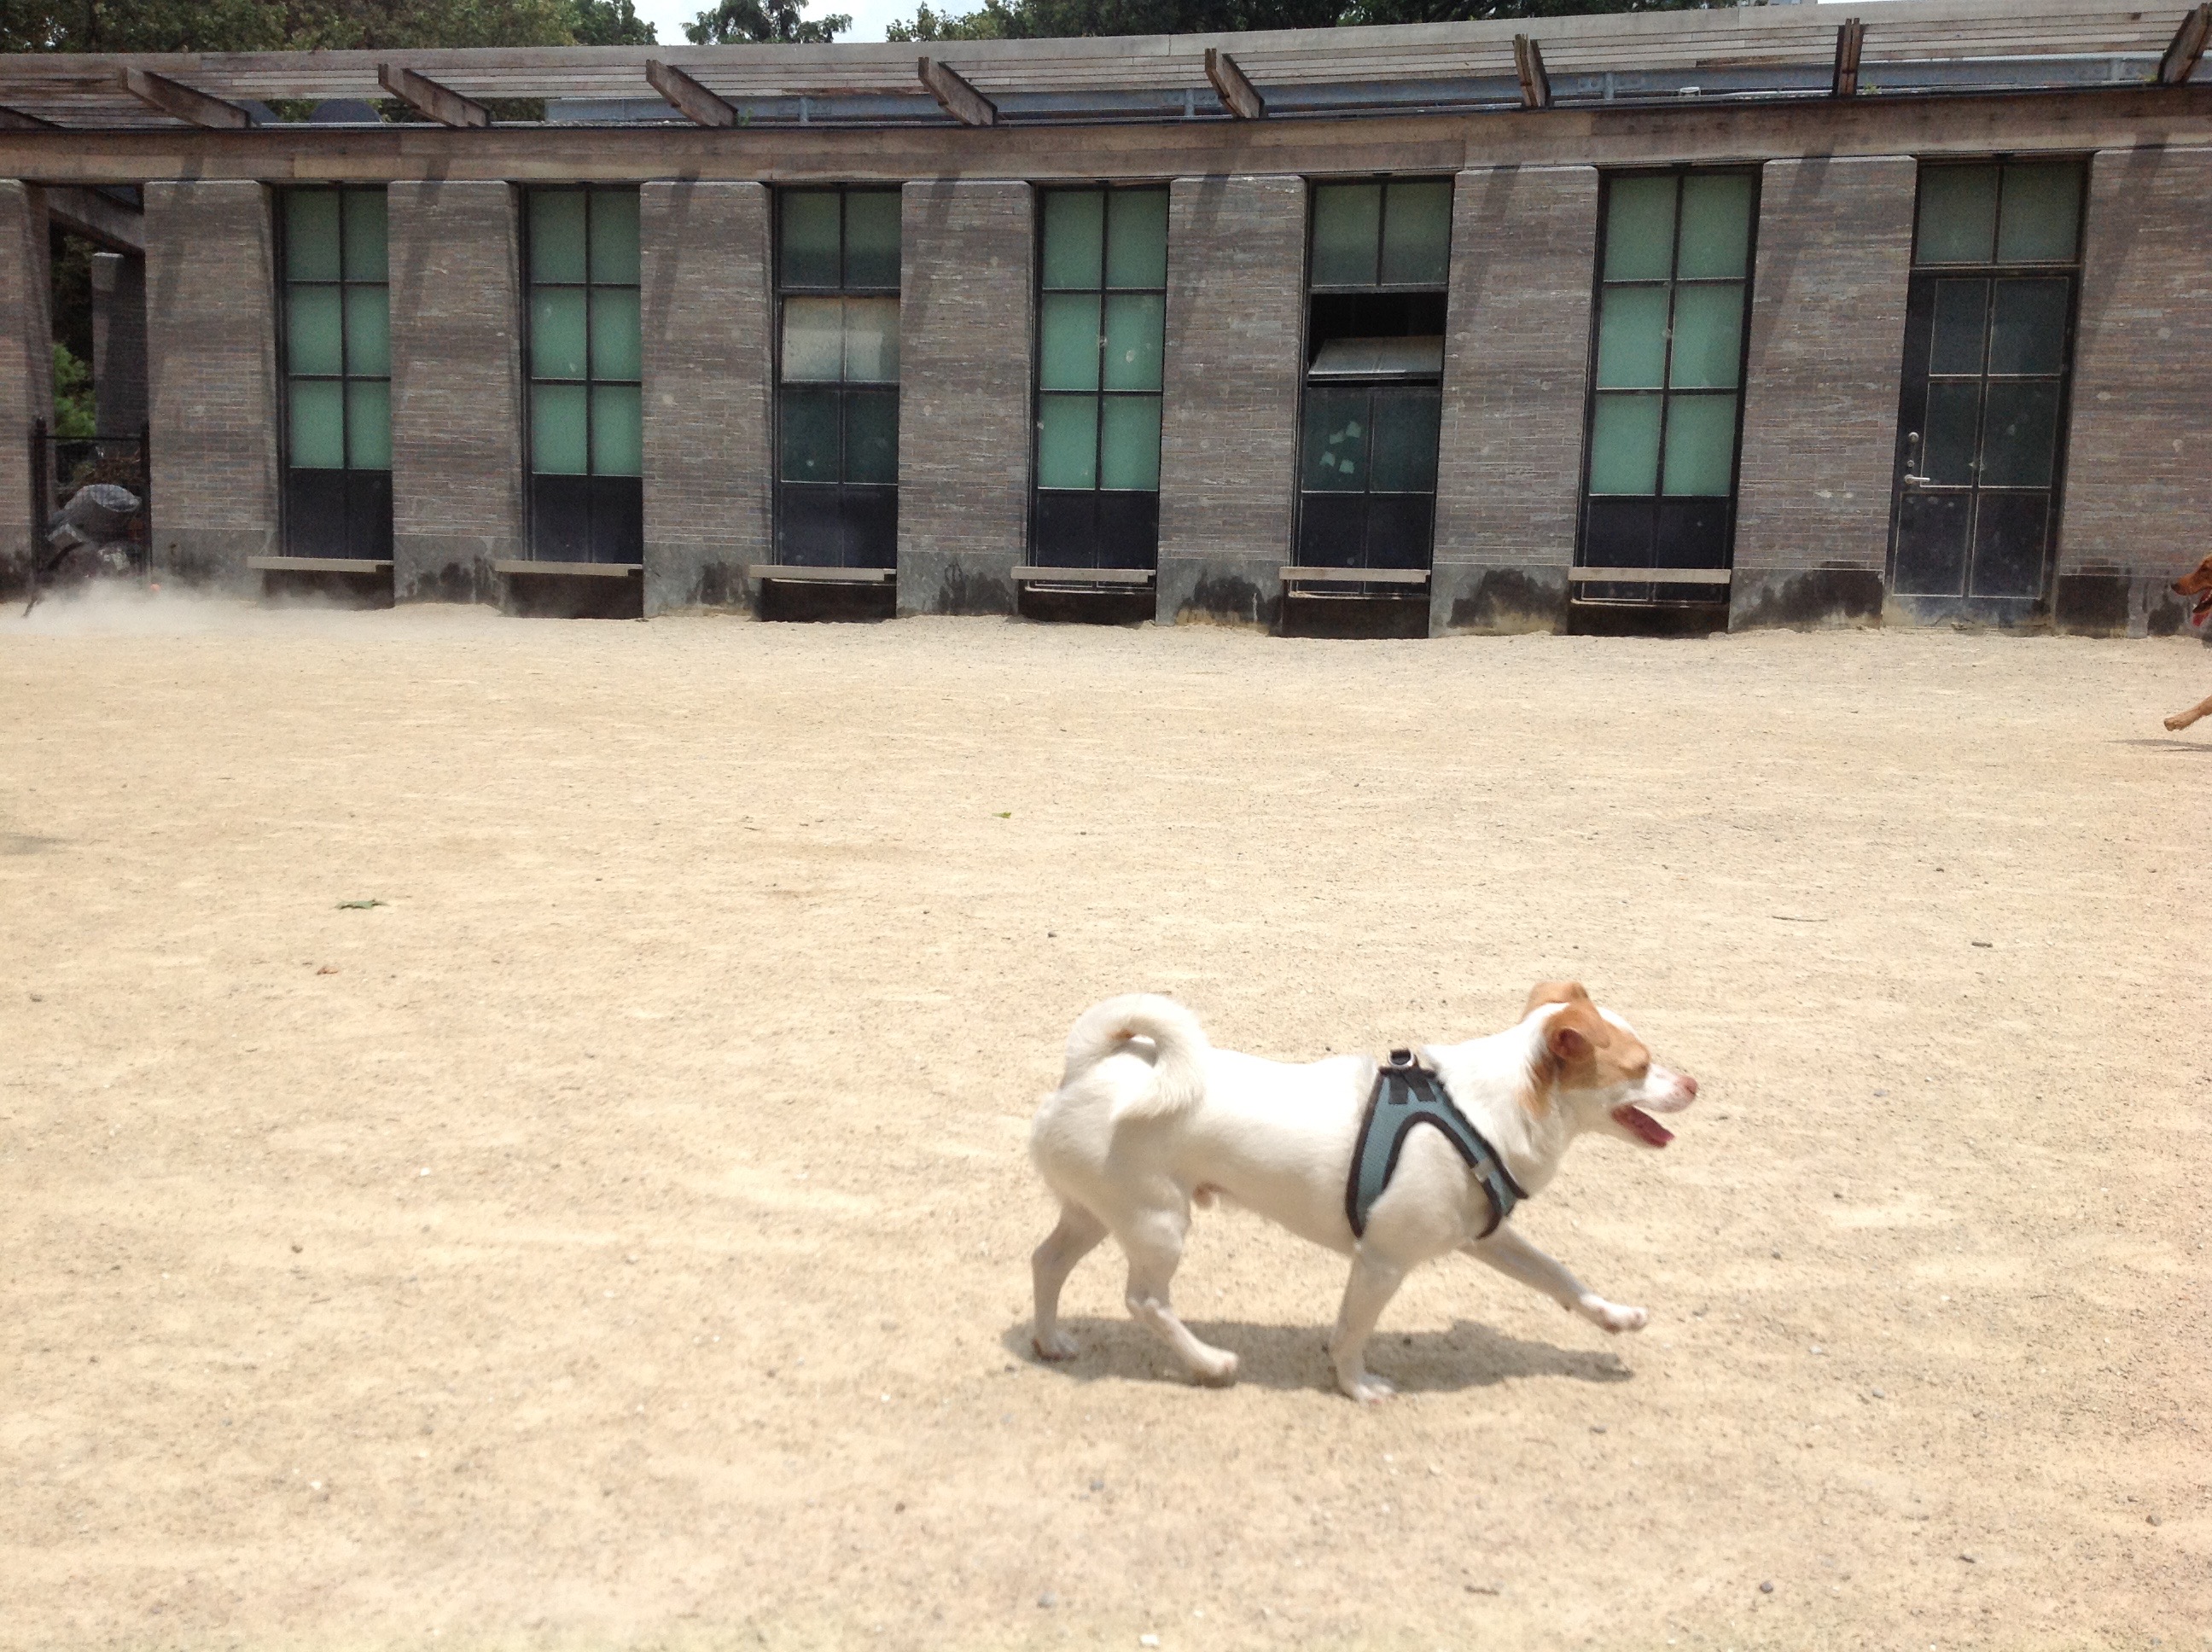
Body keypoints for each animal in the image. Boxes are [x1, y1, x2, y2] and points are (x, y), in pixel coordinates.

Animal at [1026, 991, 1698, 1406]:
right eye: (1640, 1066)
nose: (1694, 1083)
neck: (1478, 1111)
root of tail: (1090, 1067)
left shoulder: (1487, 1237)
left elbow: (1559, 1277)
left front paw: (1614, 1317)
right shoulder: (1381, 1263)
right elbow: (1352, 1331)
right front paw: (1357, 1388)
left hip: (1094, 1214)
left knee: (1047, 1262)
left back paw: (1051, 1341)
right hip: (1158, 1222)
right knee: (1145, 1302)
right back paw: (1210, 1364)